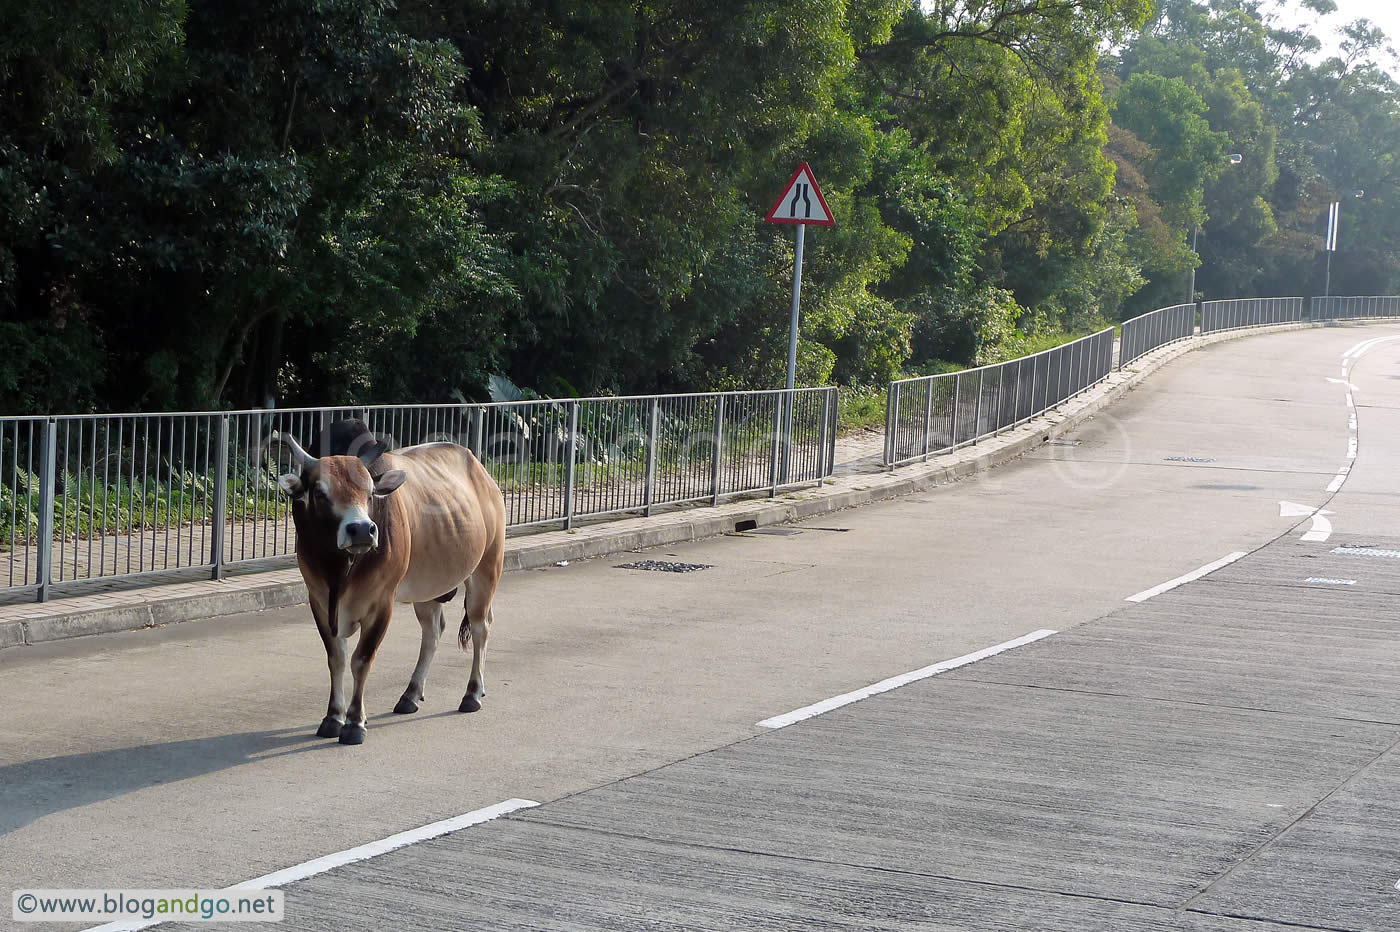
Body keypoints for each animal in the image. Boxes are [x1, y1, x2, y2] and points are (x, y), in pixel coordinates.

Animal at [270, 425, 506, 738]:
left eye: (370, 493)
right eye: (320, 492)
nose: (362, 530)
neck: (339, 571)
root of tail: (482, 474)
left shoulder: (381, 603)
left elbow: (361, 659)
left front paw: (355, 723)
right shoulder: (318, 601)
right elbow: (336, 659)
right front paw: (333, 717)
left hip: (486, 569)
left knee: (481, 627)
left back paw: (472, 693)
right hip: (427, 588)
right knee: (433, 631)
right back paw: (410, 694)